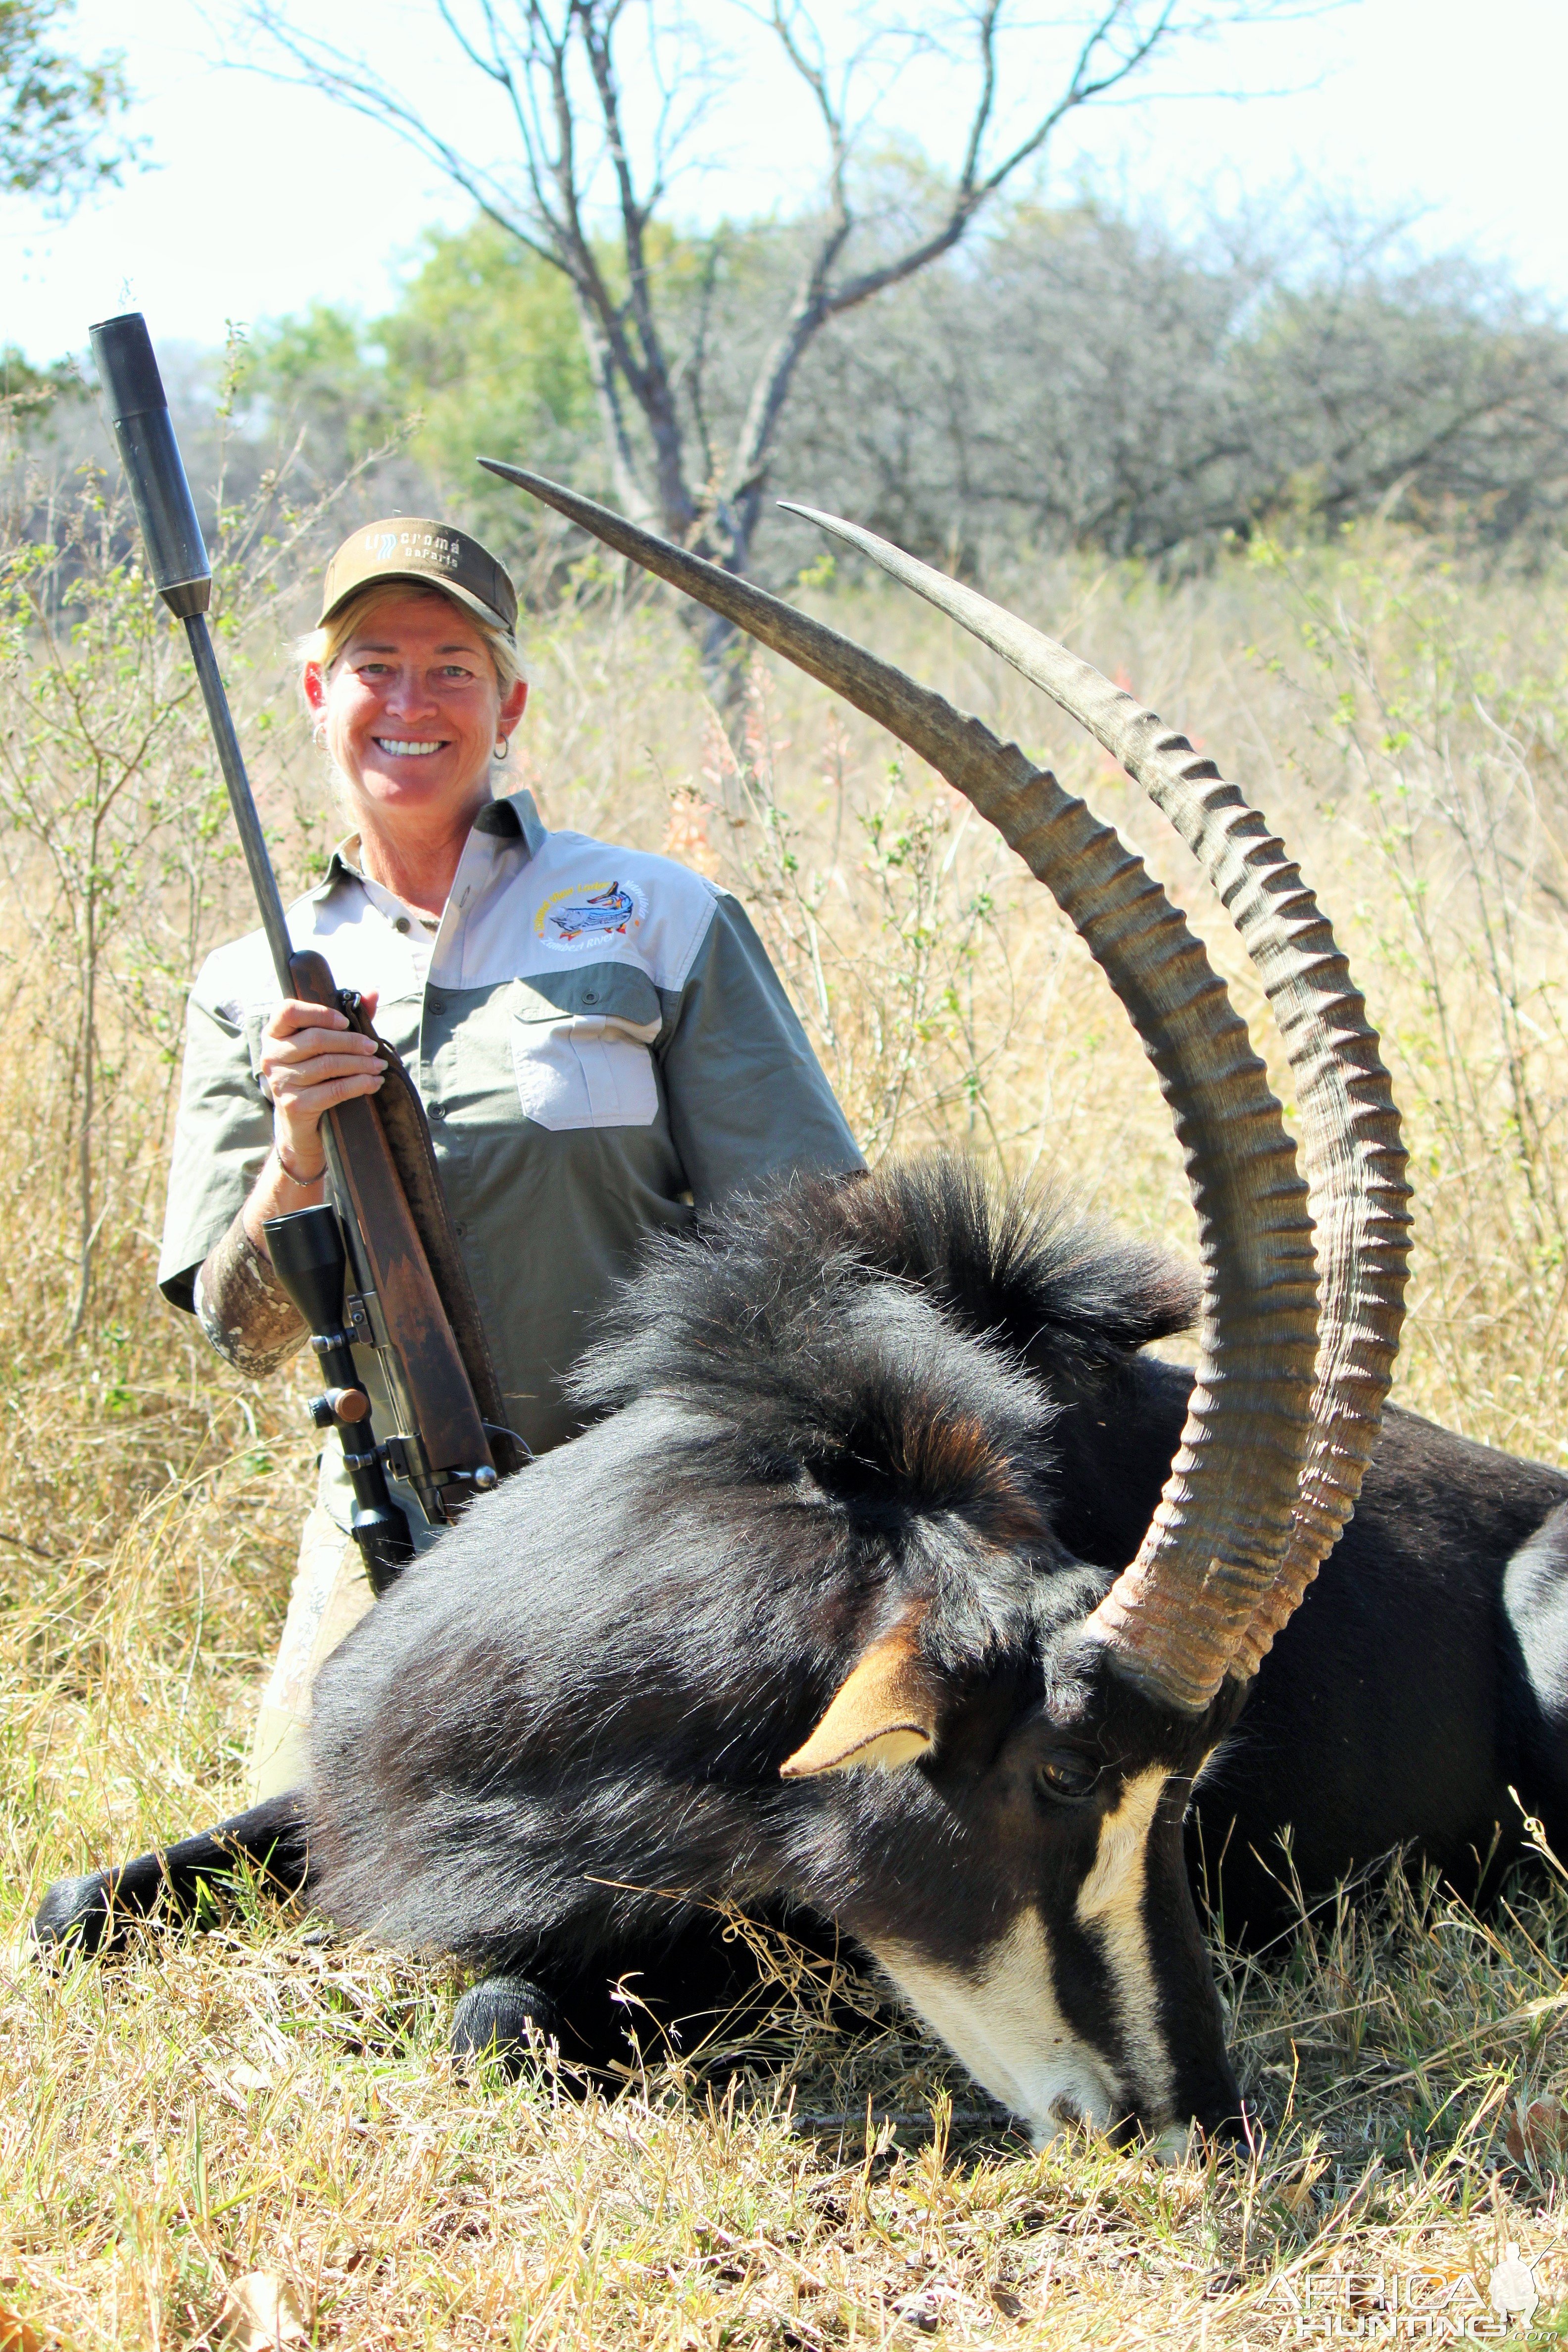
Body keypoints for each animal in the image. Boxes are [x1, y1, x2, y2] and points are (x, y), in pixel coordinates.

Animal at [37, 487, 1568, 2145]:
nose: (1187, 2120)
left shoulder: (787, 1938)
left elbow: (495, 2014)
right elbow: (65, 1907)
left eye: (1193, 1789)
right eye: (1063, 1777)